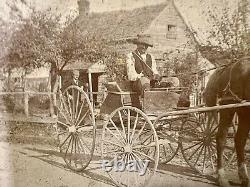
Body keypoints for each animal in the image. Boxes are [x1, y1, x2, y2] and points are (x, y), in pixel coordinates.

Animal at [203, 58, 250, 187]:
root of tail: (227, 68)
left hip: (244, 111)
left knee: (239, 140)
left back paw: (244, 177)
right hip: (228, 106)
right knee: (221, 138)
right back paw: (222, 177)